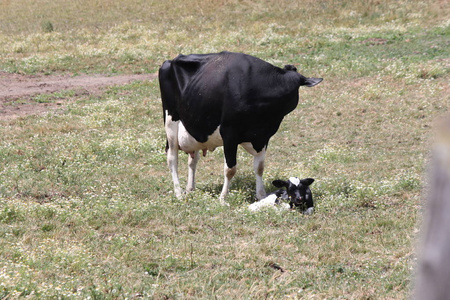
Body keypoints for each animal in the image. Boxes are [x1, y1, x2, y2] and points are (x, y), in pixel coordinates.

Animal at [159, 51, 324, 203]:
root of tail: (171, 60)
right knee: (172, 158)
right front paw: (223, 198)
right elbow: (230, 169)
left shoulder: (263, 136)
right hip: (171, 122)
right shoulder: (229, 133)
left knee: (193, 160)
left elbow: (259, 167)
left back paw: (189, 188)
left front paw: (261, 195)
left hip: (196, 128)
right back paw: (179, 193)